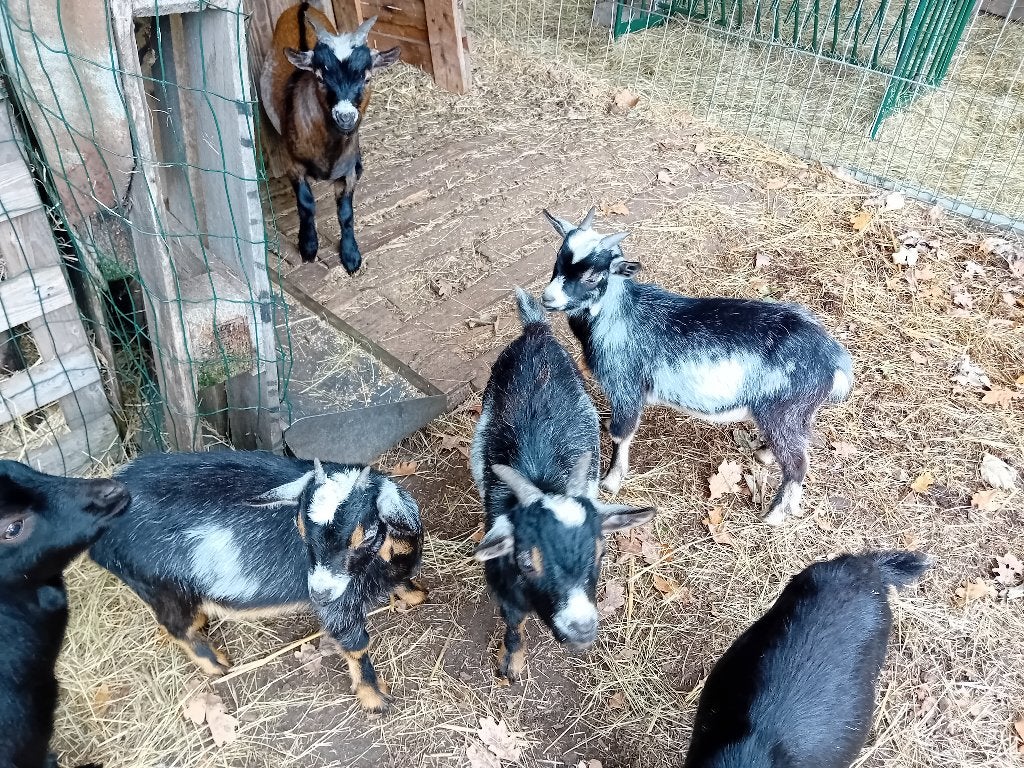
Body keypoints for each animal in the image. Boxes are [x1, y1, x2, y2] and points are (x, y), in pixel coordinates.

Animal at [89, 451, 426, 713]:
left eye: (366, 536)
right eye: (301, 529)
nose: (319, 593)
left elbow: (402, 583)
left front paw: (416, 595)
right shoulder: (340, 606)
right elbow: (356, 645)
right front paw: (374, 697)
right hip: (164, 588)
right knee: (176, 628)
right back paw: (216, 663)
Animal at [260, 4, 400, 274]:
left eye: (367, 77)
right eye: (320, 77)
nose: (345, 117)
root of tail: (301, 5)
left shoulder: (346, 173)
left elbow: (346, 213)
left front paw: (351, 255)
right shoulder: (294, 163)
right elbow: (306, 204)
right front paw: (308, 246)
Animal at [471, 288, 655, 679]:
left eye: (601, 552)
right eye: (527, 561)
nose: (581, 629)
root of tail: (536, 330)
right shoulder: (503, 584)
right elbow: (513, 622)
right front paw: (512, 662)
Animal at [539, 207, 854, 525]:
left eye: (593, 276)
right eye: (557, 261)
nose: (547, 298)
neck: (618, 315)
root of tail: (833, 358)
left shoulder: (625, 385)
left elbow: (622, 432)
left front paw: (611, 481)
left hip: (782, 411)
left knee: (797, 463)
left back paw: (774, 515)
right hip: (796, 414)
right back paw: (764, 454)